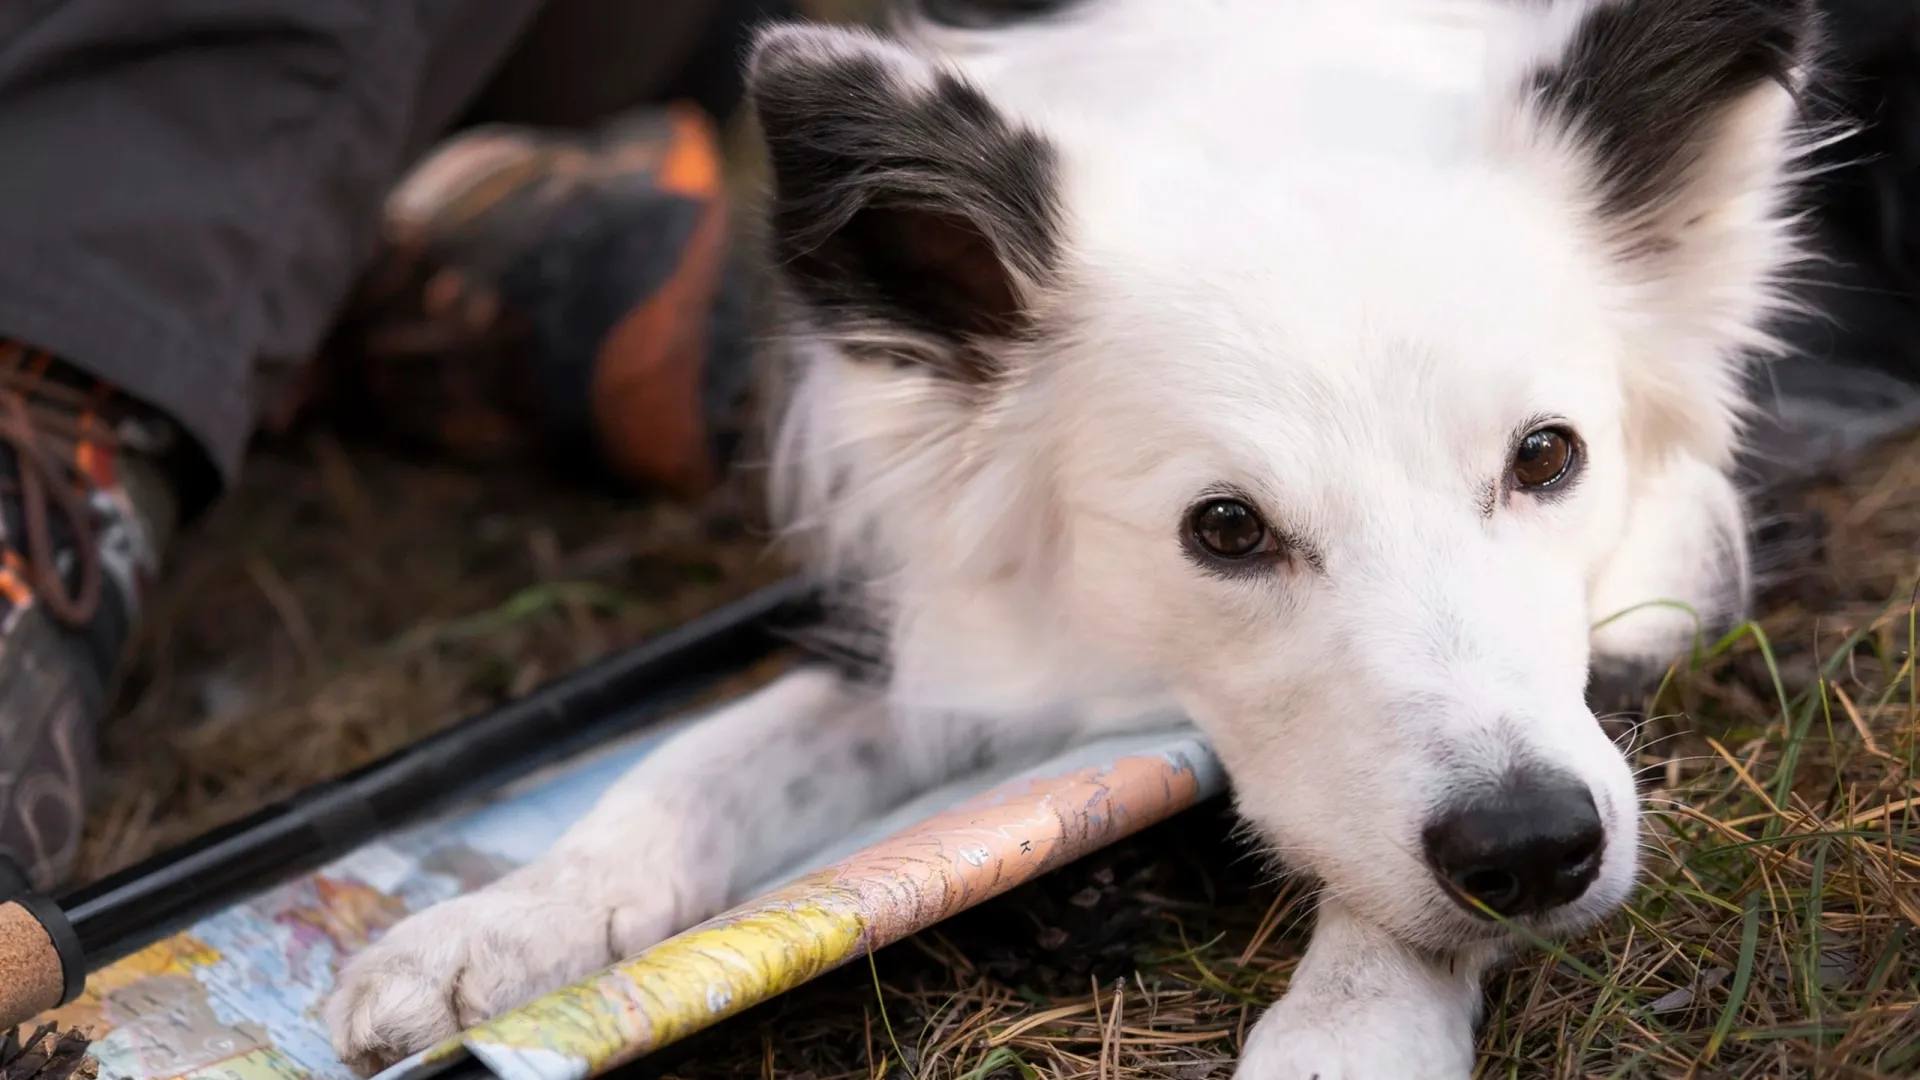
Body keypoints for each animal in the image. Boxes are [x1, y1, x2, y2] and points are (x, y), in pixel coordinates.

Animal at [326, 4, 1812, 1068]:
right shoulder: (938, 626)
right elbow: (701, 762)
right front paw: (501, 924)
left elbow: (1405, 912)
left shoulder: (1641, 609)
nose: (1534, 850)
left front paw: (1348, 1027)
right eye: (1226, 530)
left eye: (1546, 457)